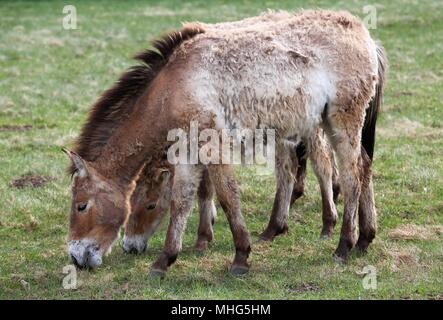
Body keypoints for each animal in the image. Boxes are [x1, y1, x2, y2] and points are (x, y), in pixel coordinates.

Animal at [64, 10, 386, 276]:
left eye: (81, 206)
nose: (76, 257)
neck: (175, 85)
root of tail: (364, 35)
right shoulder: (186, 151)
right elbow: (182, 200)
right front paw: (164, 261)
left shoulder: (212, 146)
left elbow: (227, 195)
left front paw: (240, 256)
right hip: (328, 122)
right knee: (362, 167)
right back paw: (364, 238)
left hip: (341, 121)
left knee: (350, 176)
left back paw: (343, 245)